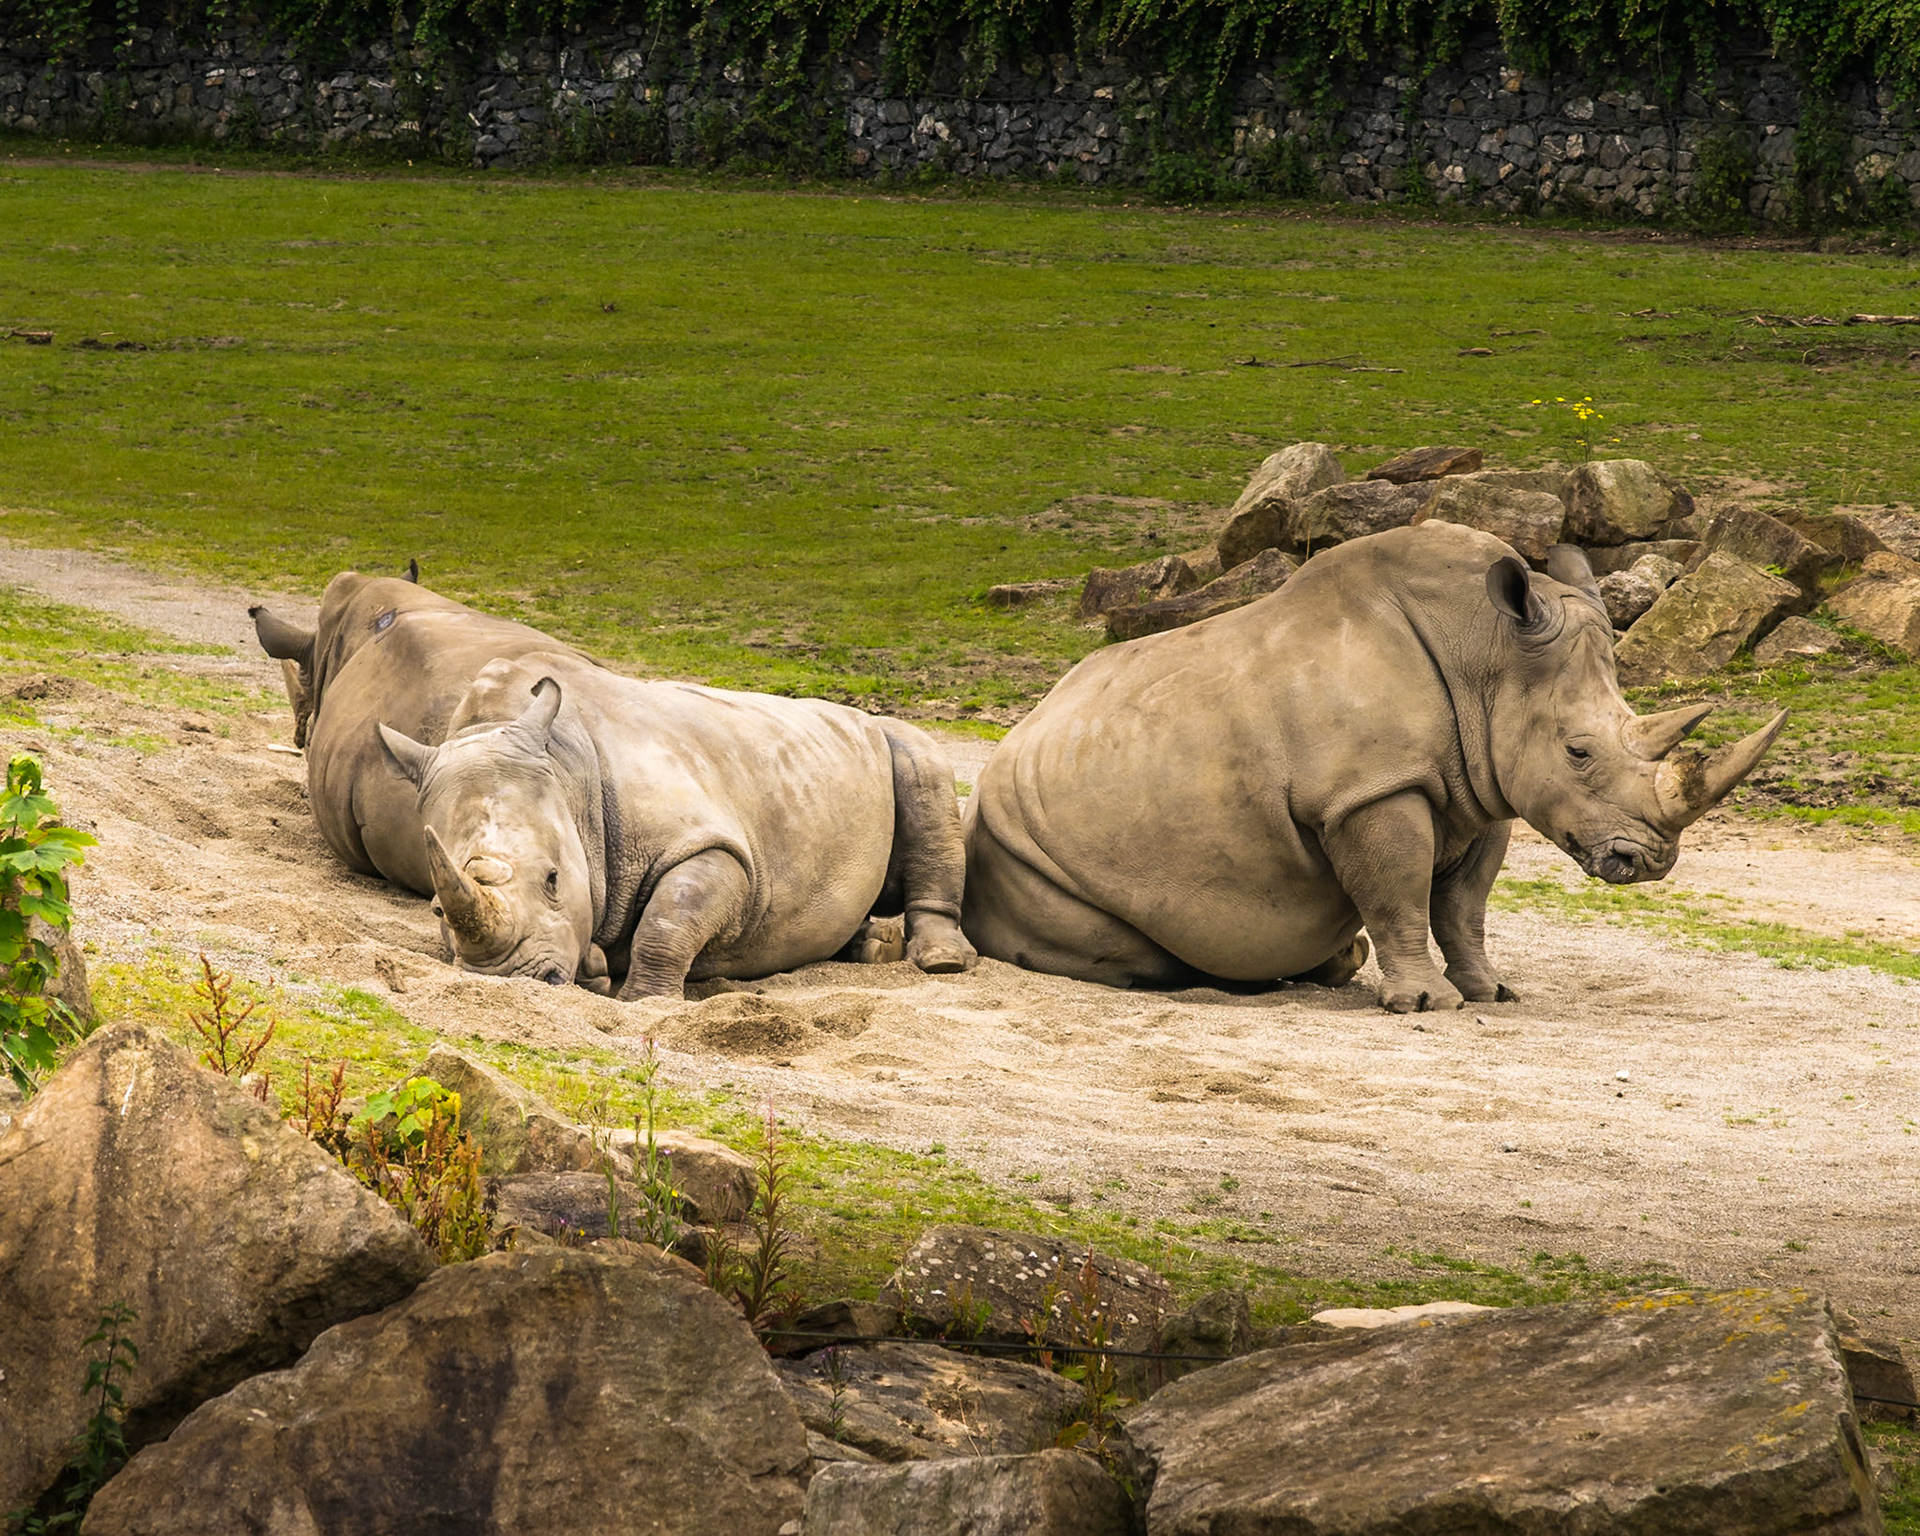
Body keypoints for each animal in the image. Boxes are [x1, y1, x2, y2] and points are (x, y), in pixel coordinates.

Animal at [376, 652, 976, 996]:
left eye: (551, 880)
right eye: (435, 909)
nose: (512, 982)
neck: (567, 772)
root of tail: (857, 716)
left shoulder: (717, 849)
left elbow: (669, 920)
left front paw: (644, 1001)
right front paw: (597, 968)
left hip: (894, 739)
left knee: (921, 767)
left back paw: (940, 963)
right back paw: (870, 948)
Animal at [963, 523, 1784, 1012]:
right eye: (1578, 752)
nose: (1648, 862)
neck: (1489, 654)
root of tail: (1022, 728)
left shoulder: (1482, 786)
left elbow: (1464, 906)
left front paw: (1492, 993)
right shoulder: (1369, 789)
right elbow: (1399, 891)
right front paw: (1426, 1005)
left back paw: (1333, 965)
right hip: (1012, 833)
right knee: (1126, 945)